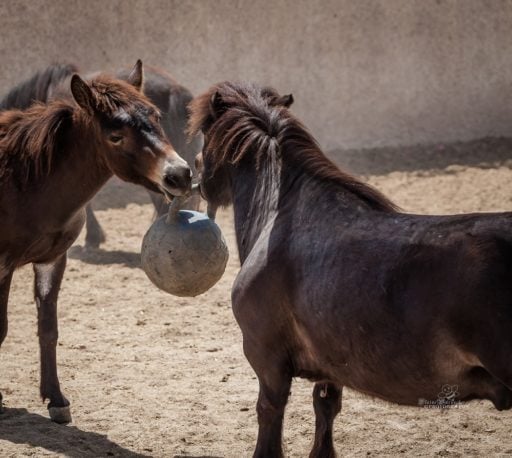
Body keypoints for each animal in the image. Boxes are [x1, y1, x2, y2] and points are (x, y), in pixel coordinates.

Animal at [189, 80, 512, 456]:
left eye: (204, 133)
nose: (193, 172)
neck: (280, 214)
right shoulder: (330, 370)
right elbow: (325, 411)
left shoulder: (267, 360)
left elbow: (269, 422)